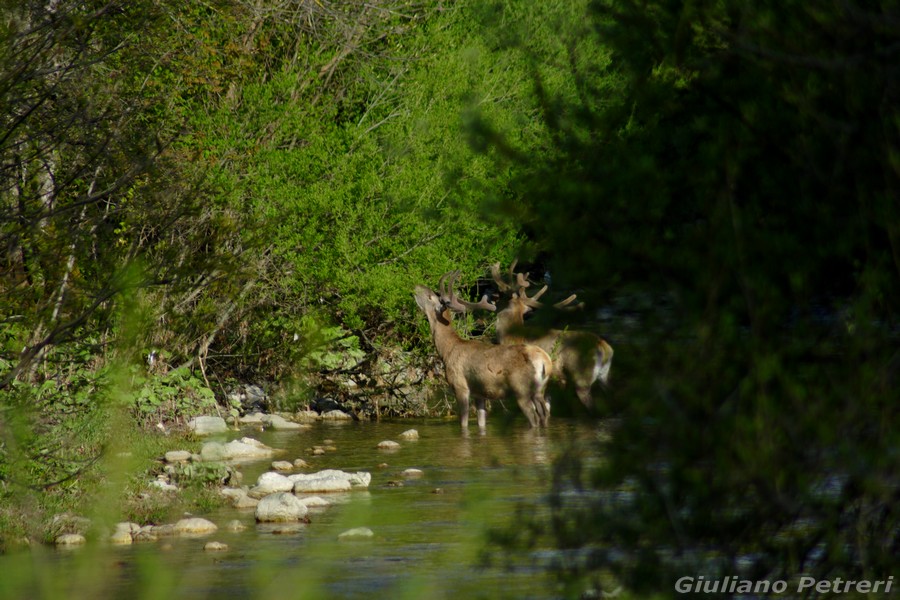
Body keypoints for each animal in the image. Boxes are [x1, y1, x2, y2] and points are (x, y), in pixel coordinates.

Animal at [414, 272, 556, 432]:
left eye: (430, 296)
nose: (416, 286)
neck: (446, 351)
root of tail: (544, 361)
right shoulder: (479, 393)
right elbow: (481, 422)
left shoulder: (460, 386)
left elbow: (463, 423)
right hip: (540, 390)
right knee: (545, 414)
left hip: (522, 389)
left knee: (534, 418)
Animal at [492, 262, 612, 412]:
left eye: (502, 294)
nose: (493, 297)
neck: (512, 336)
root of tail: (603, 346)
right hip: (604, 377)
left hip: (582, 378)